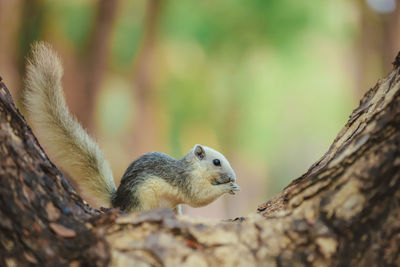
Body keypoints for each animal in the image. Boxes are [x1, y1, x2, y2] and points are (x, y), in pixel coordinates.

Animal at [22, 43, 241, 216]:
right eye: (216, 162)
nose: (233, 176)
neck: (195, 169)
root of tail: (118, 202)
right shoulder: (188, 181)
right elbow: (199, 197)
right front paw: (228, 187)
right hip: (143, 199)